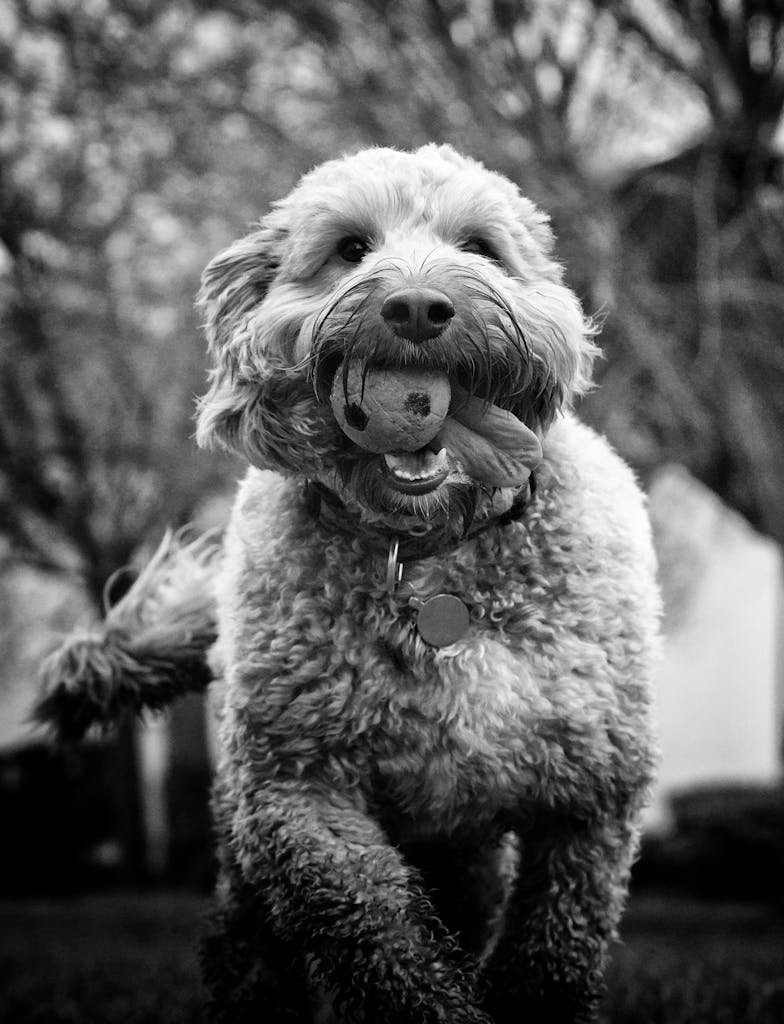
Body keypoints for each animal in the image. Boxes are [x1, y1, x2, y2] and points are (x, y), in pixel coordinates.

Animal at [38, 146, 663, 1024]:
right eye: (349, 249)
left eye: (479, 247)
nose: (417, 307)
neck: (432, 554)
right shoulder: (299, 793)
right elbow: (378, 933)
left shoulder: (590, 798)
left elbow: (552, 949)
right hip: (253, 851)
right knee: (247, 953)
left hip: (465, 857)